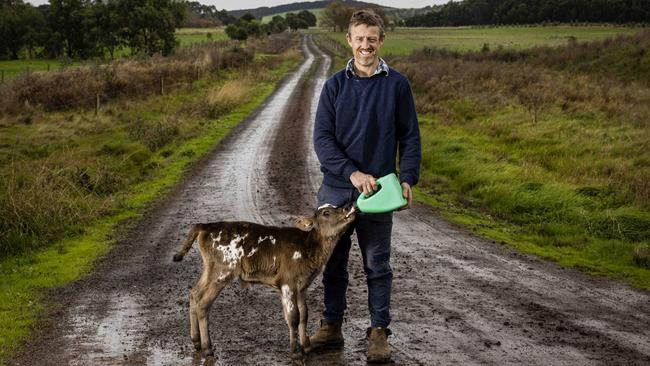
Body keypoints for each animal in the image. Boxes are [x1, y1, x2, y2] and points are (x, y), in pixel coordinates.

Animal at [172, 206, 354, 358]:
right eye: (326, 213)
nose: (348, 207)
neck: (309, 247)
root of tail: (206, 226)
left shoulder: (302, 287)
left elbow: (304, 315)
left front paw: (306, 346)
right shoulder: (288, 283)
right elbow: (293, 317)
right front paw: (295, 352)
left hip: (210, 269)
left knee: (195, 294)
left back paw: (196, 341)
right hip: (222, 272)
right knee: (203, 304)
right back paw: (207, 348)